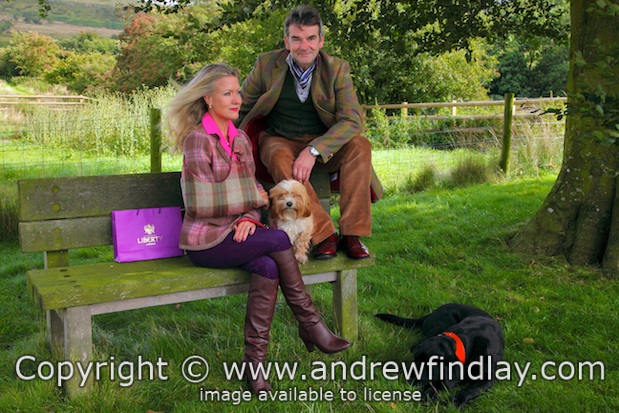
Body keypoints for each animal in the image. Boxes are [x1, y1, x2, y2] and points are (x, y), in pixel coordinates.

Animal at [376, 303, 504, 408]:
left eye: (430, 365)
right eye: (416, 359)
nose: (409, 379)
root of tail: (432, 312)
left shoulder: (487, 379)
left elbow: (472, 389)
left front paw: (456, 400)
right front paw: (429, 394)